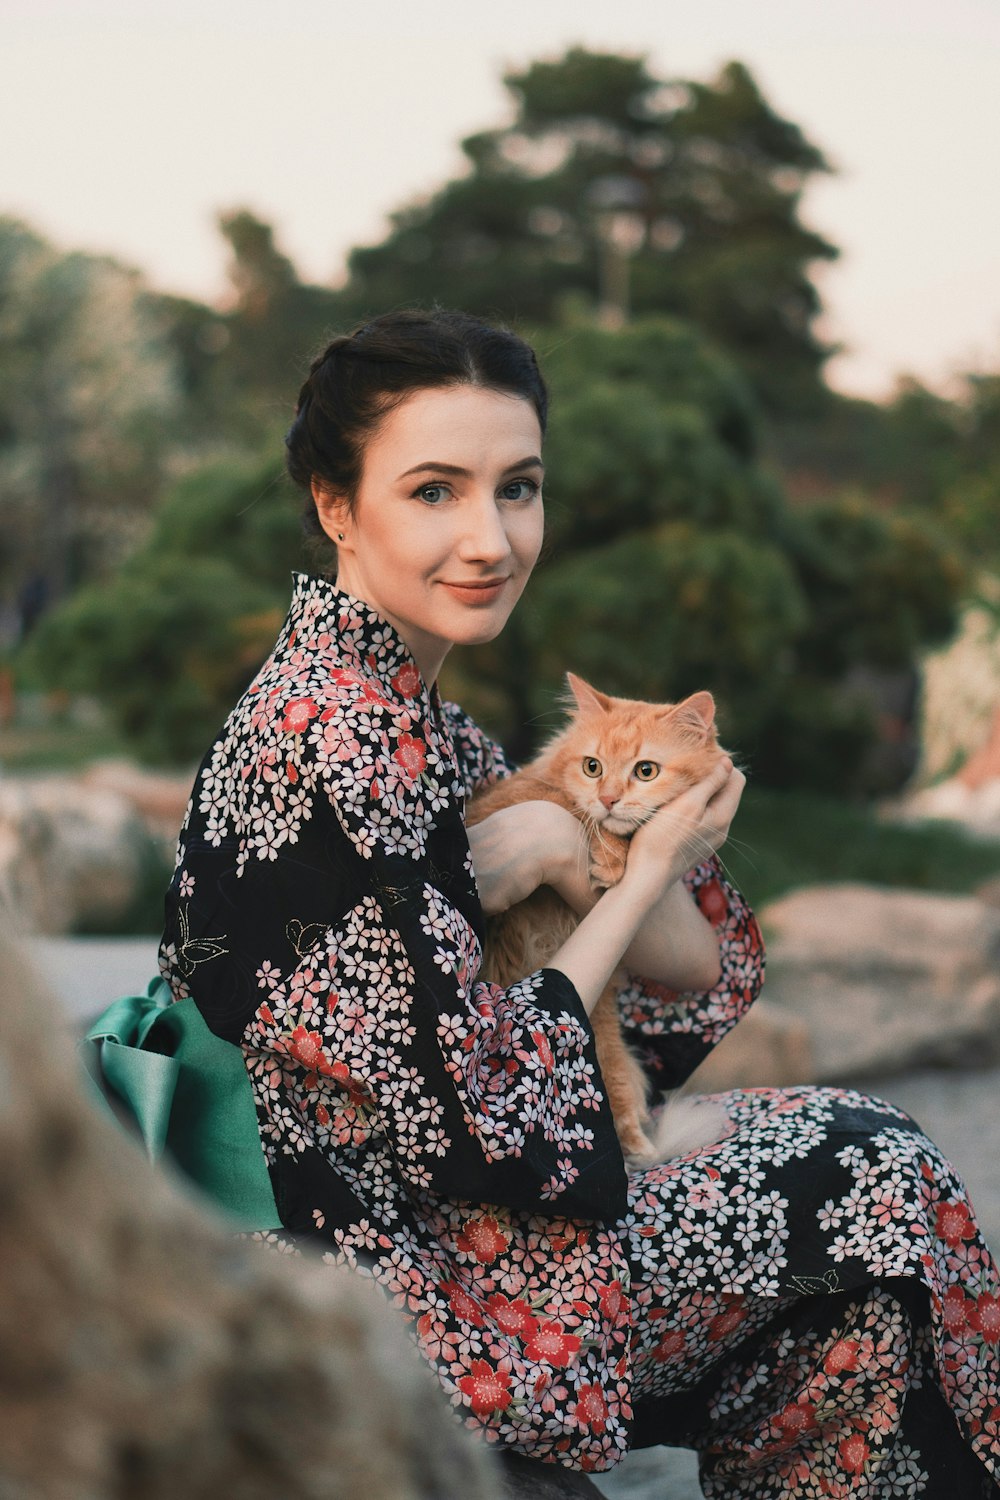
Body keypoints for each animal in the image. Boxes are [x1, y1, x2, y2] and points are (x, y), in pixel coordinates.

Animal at [464, 675, 731, 1164]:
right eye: (593, 767)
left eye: (645, 771)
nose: (608, 798)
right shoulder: (519, 801)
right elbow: (568, 806)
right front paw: (608, 855)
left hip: (604, 1032)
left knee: (619, 1095)